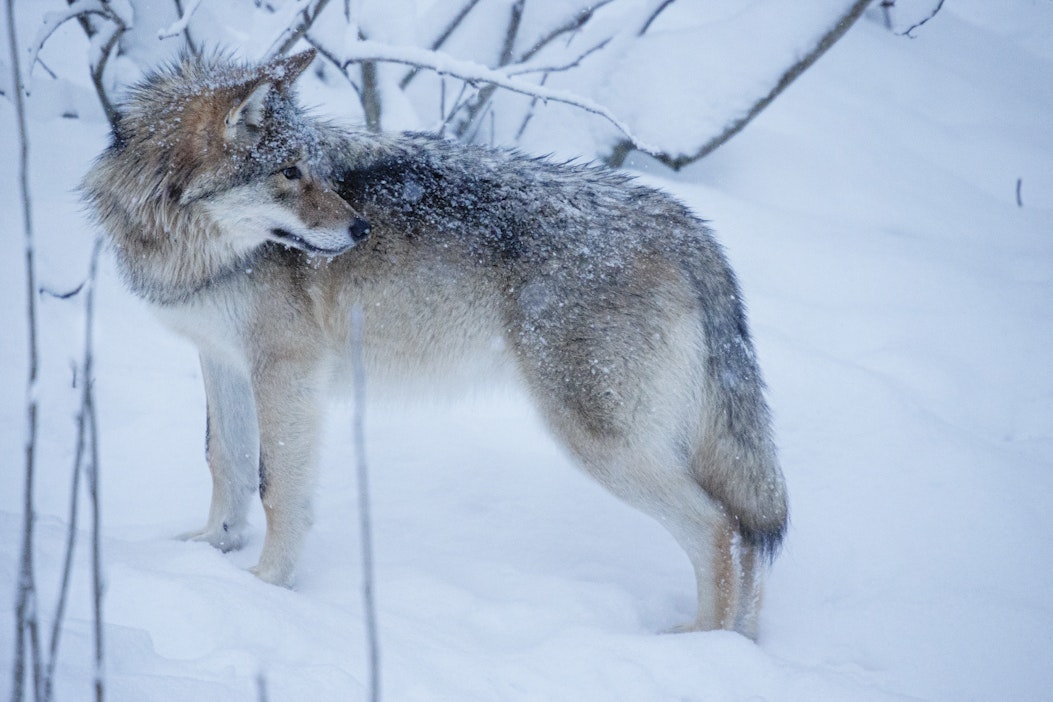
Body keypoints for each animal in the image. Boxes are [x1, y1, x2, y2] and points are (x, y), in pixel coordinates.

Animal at [82, 49, 787, 639]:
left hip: (603, 443)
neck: (191, 251)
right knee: (749, 544)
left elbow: (276, 488)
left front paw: (263, 590)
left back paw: (700, 646)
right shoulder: (220, 357)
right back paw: (738, 647)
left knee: (721, 529)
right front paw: (208, 556)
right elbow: (224, 464)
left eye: (315, 170)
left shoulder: (286, 370)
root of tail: (688, 226)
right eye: (290, 172)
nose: (361, 228)